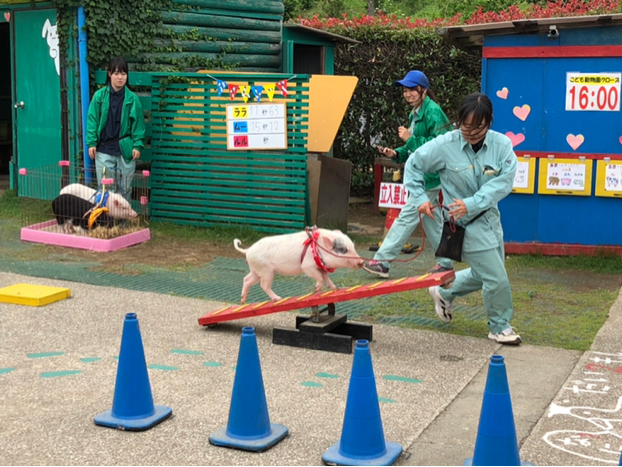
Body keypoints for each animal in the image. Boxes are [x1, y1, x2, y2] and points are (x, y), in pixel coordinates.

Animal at [233, 229, 366, 306]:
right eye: (343, 250)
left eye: (353, 246)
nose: (362, 262)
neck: (318, 247)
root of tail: (248, 250)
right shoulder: (307, 266)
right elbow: (319, 277)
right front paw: (317, 289)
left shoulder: (321, 266)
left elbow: (326, 277)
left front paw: (335, 288)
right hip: (266, 270)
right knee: (264, 285)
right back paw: (278, 298)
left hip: (256, 270)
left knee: (246, 279)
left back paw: (242, 301)